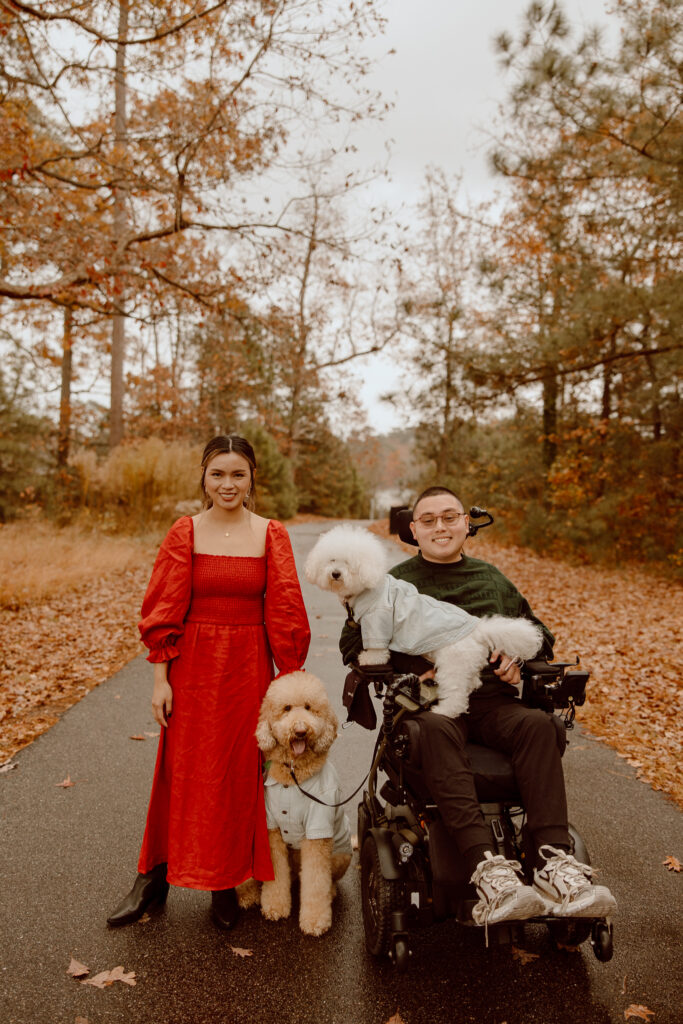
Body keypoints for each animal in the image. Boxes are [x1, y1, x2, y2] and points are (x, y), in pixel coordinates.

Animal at [236, 671, 352, 937]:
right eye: (286, 708)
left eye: (309, 708)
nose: (300, 730)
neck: (293, 773)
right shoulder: (270, 829)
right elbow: (276, 875)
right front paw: (275, 907)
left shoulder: (317, 831)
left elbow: (316, 881)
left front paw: (315, 921)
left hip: (340, 856)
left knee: (327, 879)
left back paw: (330, 892)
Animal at [305, 528, 544, 720]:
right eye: (332, 560)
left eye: (348, 563)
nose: (335, 573)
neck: (368, 587)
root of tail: (478, 628)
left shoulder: (378, 619)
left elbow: (376, 649)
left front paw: (368, 659)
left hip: (452, 665)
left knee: (456, 694)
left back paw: (444, 711)